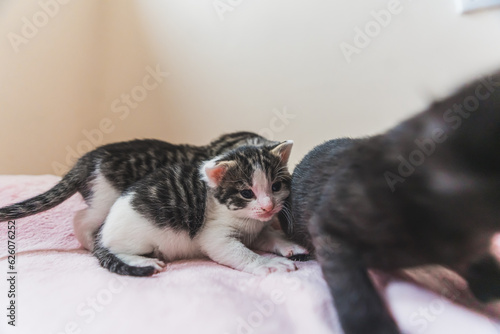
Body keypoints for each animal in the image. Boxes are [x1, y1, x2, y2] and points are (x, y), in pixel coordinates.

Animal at [92, 141, 306, 276]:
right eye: (246, 193)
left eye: (276, 187)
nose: (268, 206)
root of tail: (100, 232)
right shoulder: (214, 235)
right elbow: (239, 252)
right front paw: (268, 263)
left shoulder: (256, 230)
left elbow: (268, 235)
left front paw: (288, 244)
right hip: (139, 236)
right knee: (117, 250)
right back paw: (143, 261)